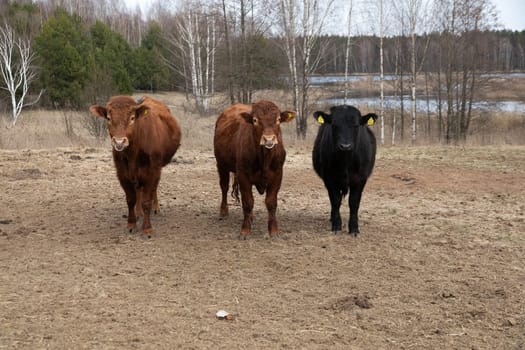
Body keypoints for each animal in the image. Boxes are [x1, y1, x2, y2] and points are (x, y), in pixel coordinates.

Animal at [89, 95, 181, 238]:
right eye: (108, 118)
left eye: (132, 118)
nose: (119, 142)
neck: (133, 152)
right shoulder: (122, 174)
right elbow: (131, 199)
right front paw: (131, 224)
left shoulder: (152, 171)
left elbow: (146, 201)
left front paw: (147, 229)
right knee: (138, 190)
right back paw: (139, 213)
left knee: (153, 189)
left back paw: (155, 208)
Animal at [213, 100, 294, 239]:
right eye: (255, 120)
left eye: (278, 119)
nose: (269, 139)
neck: (264, 158)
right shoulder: (243, 175)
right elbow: (248, 202)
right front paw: (245, 231)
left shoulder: (278, 175)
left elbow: (271, 202)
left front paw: (274, 230)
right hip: (221, 164)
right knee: (224, 186)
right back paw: (224, 211)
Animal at [312, 104, 376, 235]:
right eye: (334, 125)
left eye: (356, 125)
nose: (345, 146)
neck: (345, 162)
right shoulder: (330, 178)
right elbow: (335, 200)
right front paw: (337, 226)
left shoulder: (360, 178)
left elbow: (354, 202)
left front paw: (354, 228)